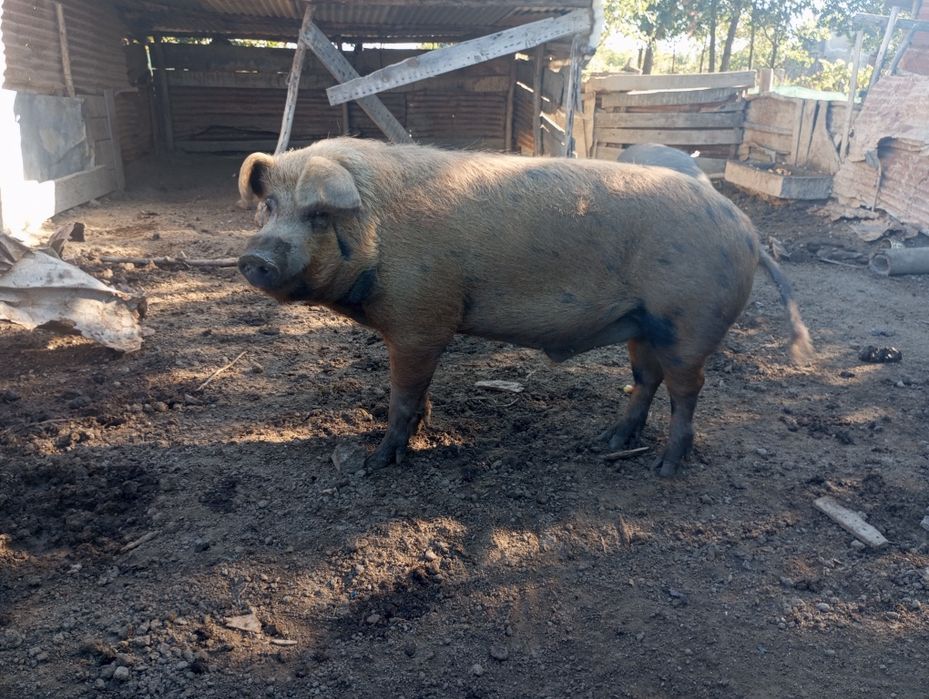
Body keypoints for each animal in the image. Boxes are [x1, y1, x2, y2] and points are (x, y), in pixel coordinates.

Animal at [237, 137, 812, 477]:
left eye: (318, 215)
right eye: (269, 207)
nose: (252, 257)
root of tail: (747, 229)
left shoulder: (422, 319)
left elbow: (401, 395)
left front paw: (378, 462)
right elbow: (417, 393)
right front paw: (417, 433)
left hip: (687, 322)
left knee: (687, 391)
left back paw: (664, 468)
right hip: (642, 324)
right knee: (645, 380)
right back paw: (605, 442)